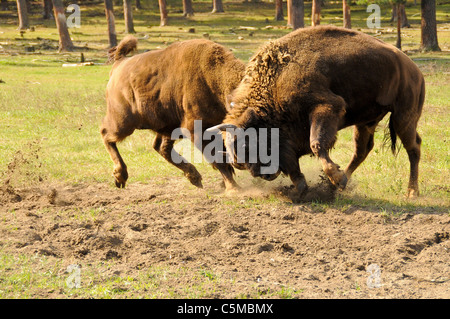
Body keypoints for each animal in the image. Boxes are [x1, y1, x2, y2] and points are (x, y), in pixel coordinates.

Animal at [101, 35, 246, 190]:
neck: (214, 78)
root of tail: (120, 62)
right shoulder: (196, 130)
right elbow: (218, 158)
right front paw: (234, 188)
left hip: (168, 125)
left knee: (160, 147)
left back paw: (194, 177)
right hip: (124, 123)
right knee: (106, 134)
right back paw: (120, 176)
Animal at [207, 26, 426, 199]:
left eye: (248, 144)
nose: (265, 175)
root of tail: (414, 69)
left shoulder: (327, 107)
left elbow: (317, 143)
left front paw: (329, 177)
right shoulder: (289, 139)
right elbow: (295, 163)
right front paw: (302, 189)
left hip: (403, 116)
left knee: (413, 148)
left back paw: (411, 192)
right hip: (366, 122)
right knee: (362, 150)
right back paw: (340, 185)